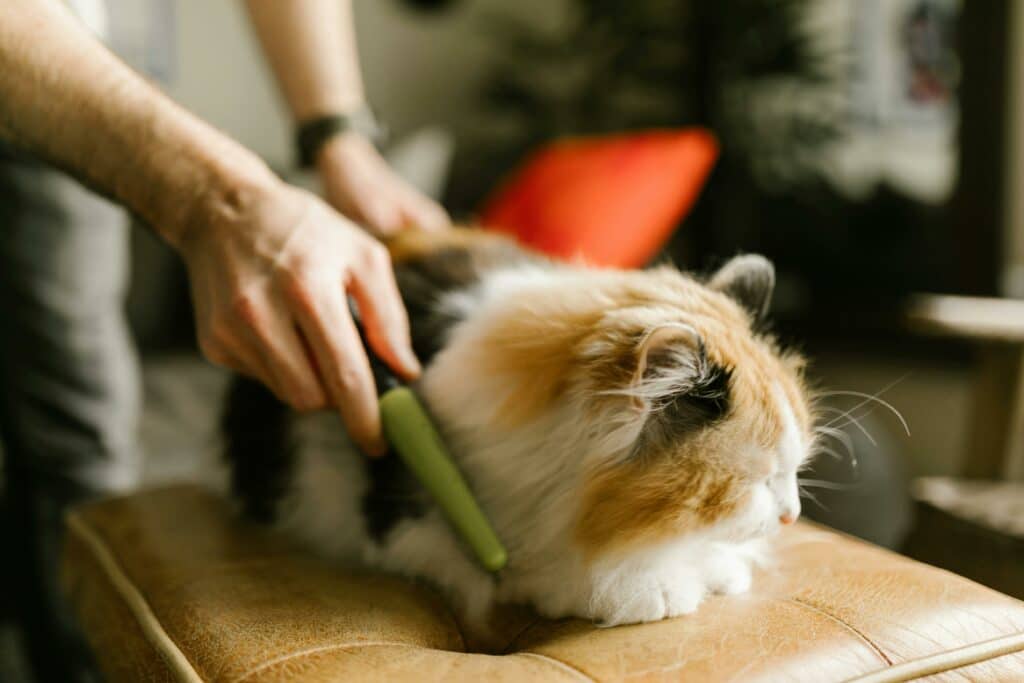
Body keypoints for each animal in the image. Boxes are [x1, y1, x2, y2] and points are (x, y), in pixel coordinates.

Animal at [220, 229, 811, 634]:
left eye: (793, 471)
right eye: (757, 481)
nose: (792, 514)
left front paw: (717, 566)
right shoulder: (409, 521)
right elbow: (542, 573)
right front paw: (659, 586)